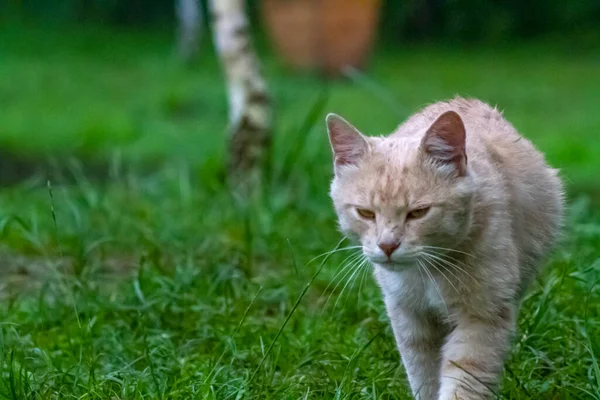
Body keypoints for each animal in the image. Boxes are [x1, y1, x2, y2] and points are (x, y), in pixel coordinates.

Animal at [324, 97, 564, 400]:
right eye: (365, 213)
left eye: (418, 212)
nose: (388, 245)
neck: (427, 274)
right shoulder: (408, 319)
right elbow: (423, 374)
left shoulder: (482, 319)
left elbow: (465, 379)